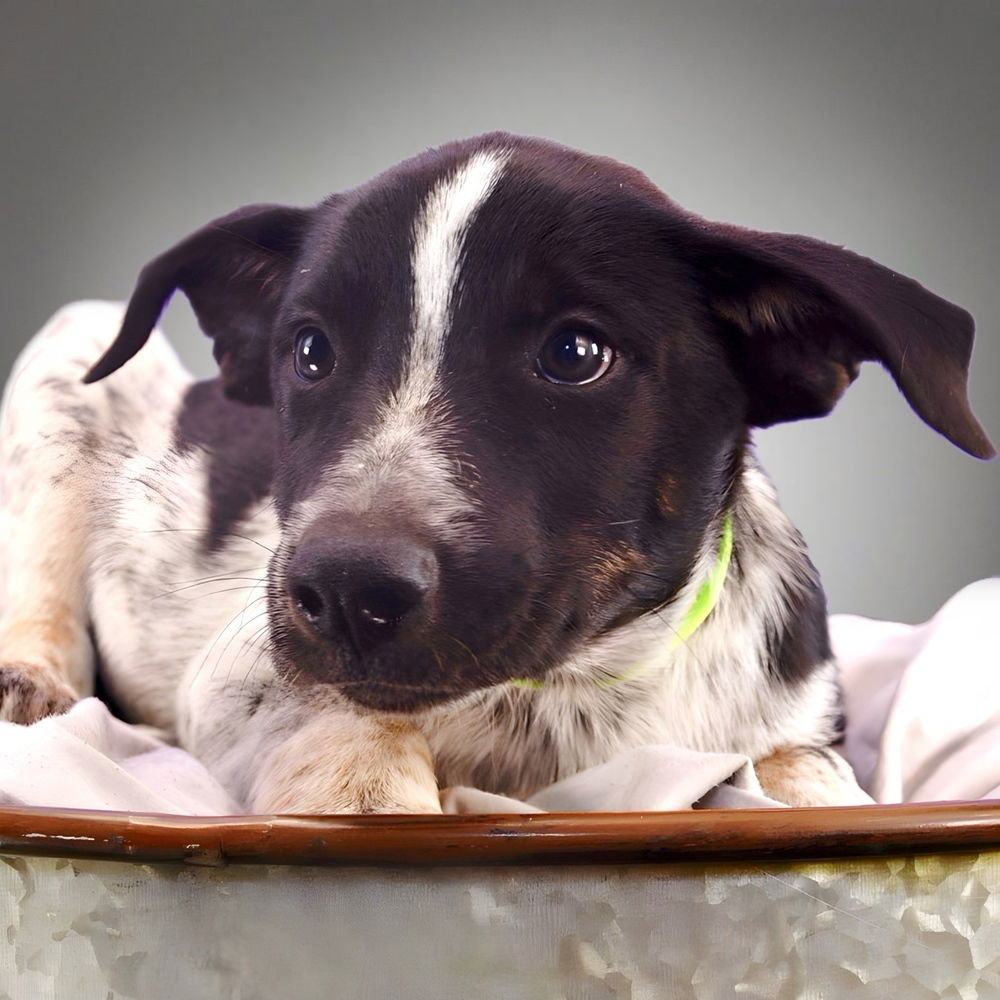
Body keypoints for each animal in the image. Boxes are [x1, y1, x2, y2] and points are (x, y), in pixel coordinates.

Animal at [0, 133, 992, 808]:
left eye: (575, 353)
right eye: (310, 352)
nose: (347, 590)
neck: (569, 690)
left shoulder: (798, 714)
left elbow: (803, 768)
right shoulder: (239, 674)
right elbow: (340, 714)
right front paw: (367, 788)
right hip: (77, 344)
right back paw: (31, 676)